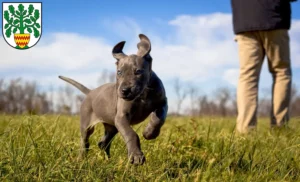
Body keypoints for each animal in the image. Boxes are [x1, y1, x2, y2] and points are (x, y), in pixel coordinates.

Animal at [58, 34, 166, 165]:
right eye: (119, 72)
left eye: (138, 71)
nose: (125, 90)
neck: (143, 94)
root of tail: (91, 92)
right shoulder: (121, 117)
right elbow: (131, 134)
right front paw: (136, 155)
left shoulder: (162, 103)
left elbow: (158, 119)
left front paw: (149, 133)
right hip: (87, 124)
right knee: (85, 141)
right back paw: (81, 159)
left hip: (112, 126)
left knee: (103, 143)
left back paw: (108, 160)